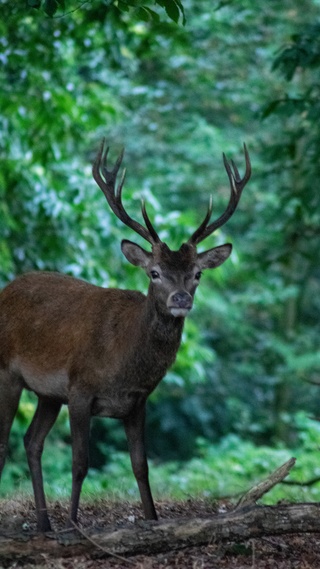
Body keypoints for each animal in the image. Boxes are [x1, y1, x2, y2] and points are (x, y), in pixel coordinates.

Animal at [0, 140, 250, 532]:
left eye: (196, 273)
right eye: (154, 272)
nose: (181, 299)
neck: (123, 362)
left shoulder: (137, 402)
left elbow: (141, 467)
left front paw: (152, 519)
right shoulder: (80, 389)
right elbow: (81, 463)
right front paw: (74, 525)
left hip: (47, 393)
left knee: (31, 441)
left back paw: (43, 524)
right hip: (8, 373)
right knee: (5, 443)